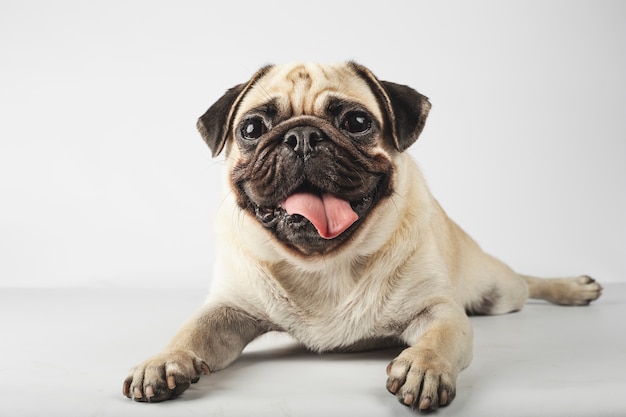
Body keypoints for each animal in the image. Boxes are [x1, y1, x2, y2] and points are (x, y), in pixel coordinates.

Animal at [120, 61, 600, 410]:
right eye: (252, 129)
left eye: (355, 121)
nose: (302, 136)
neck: (323, 263)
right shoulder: (228, 310)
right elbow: (190, 332)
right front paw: (162, 362)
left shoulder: (438, 311)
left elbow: (438, 339)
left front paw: (422, 367)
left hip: (497, 290)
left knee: (526, 283)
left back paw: (574, 287)